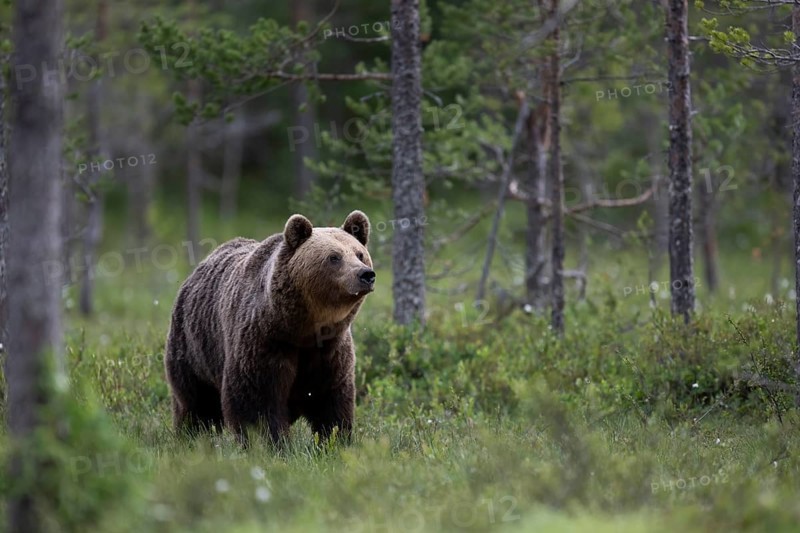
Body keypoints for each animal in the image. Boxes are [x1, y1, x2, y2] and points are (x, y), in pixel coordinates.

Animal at [164, 210, 375, 445]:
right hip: (194, 347)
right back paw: (190, 436)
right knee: (197, 403)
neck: (302, 328)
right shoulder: (264, 341)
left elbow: (331, 401)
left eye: (359, 254)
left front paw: (334, 441)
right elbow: (256, 399)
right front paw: (271, 442)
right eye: (334, 257)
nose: (366, 274)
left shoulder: (330, 350)